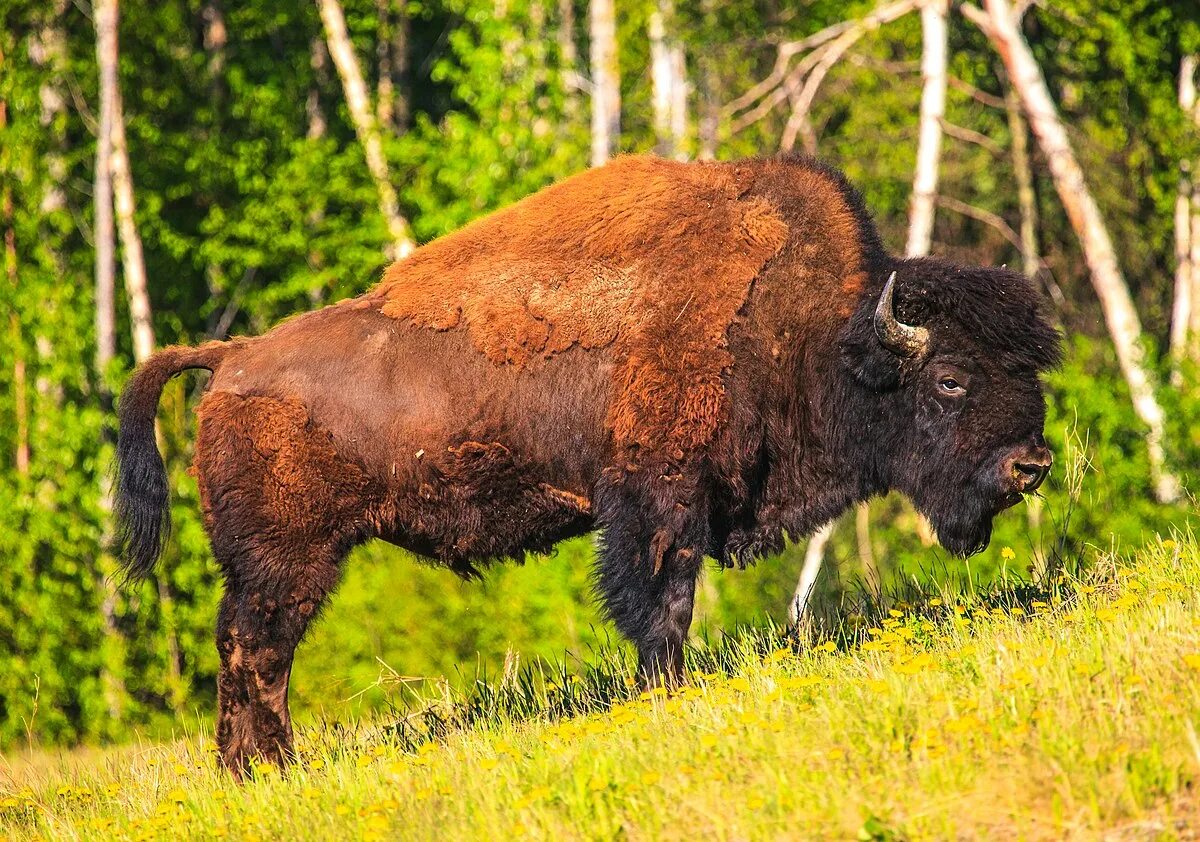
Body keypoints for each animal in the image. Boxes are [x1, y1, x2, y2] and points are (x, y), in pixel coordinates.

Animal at [114, 154, 1060, 777]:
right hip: (290, 561)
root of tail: (232, 357)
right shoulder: (658, 496)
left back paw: (251, 771)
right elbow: (662, 602)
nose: (1032, 465)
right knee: (257, 650)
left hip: (270, 564)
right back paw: (270, 768)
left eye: (1031, 370)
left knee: (244, 648)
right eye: (950, 378)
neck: (813, 331)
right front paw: (664, 691)